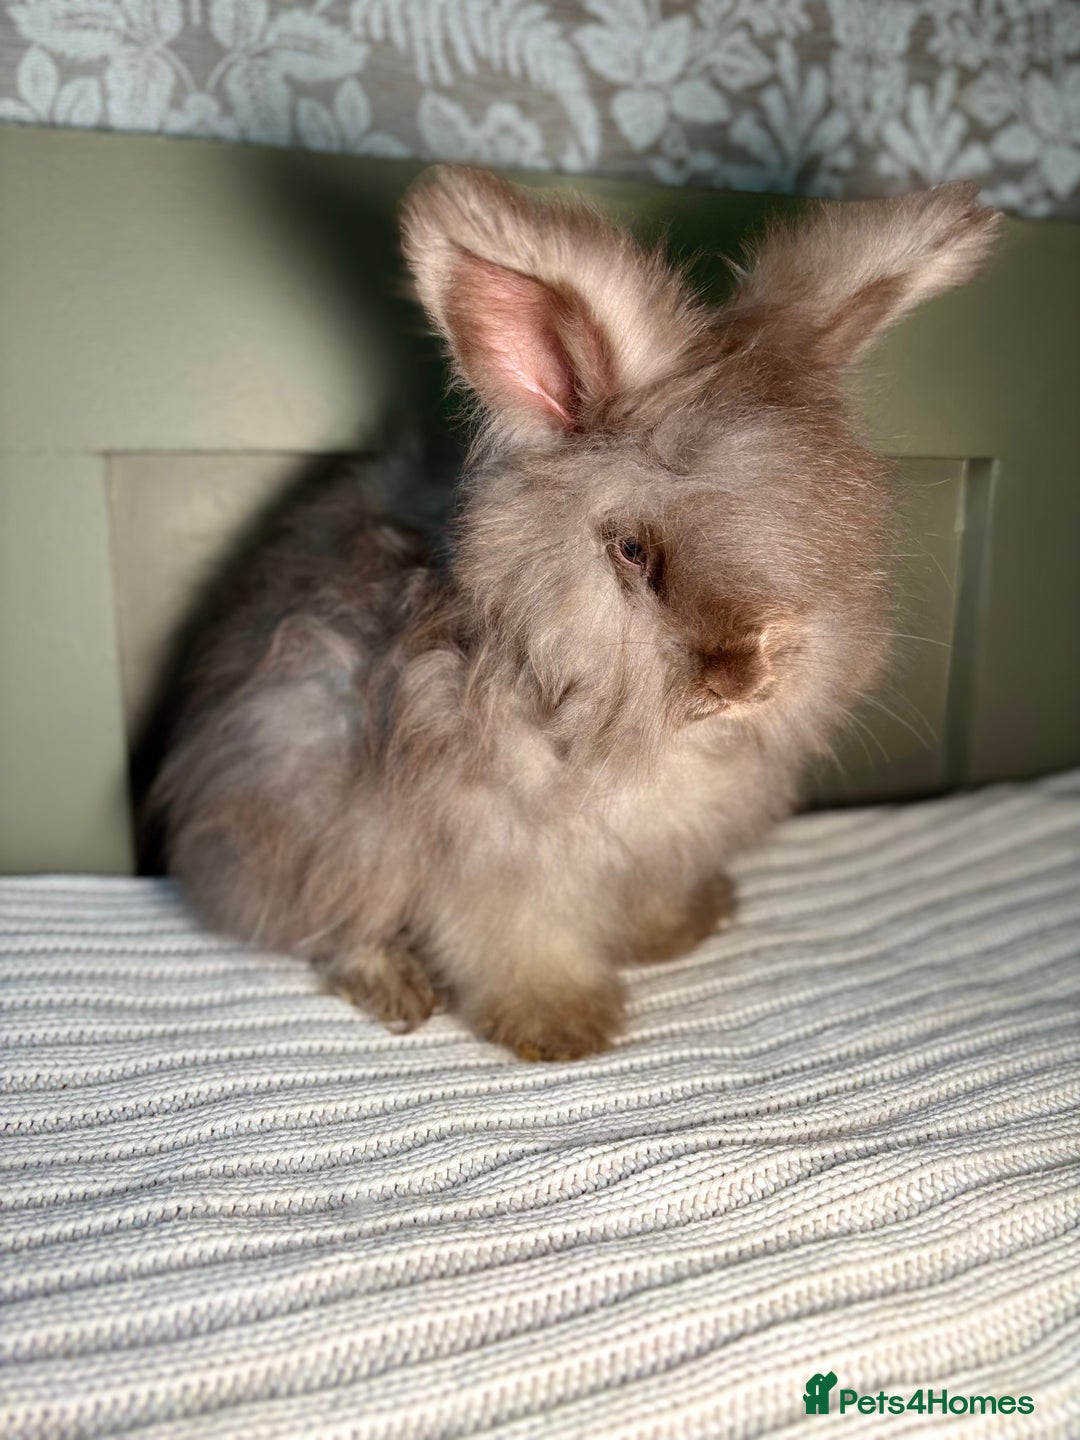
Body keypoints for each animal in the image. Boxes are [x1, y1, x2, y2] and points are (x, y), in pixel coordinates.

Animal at [155, 167, 1000, 1061]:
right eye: (630, 549)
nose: (742, 680)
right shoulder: (488, 858)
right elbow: (517, 945)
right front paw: (564, 1028)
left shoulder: (653, 850)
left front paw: (677, 931)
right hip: (312, 813)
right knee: (328, 930)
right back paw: (396, 988)